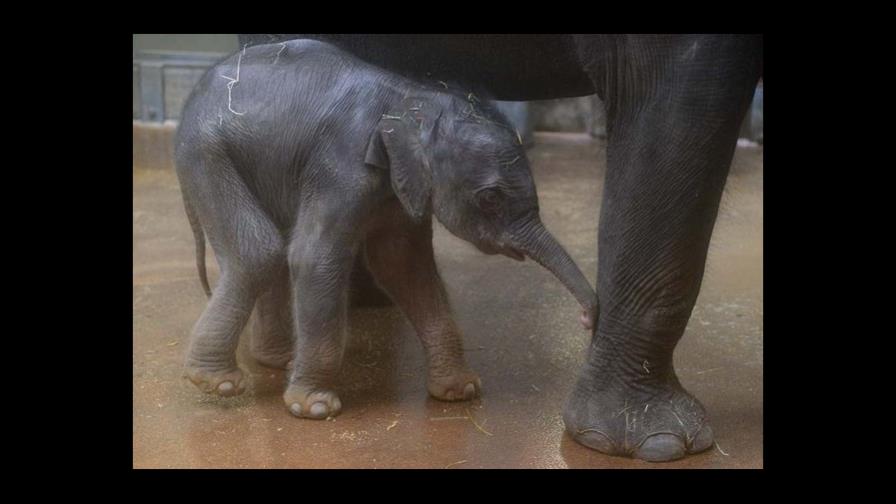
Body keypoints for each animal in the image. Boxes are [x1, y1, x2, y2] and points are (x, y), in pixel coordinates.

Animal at [175, 39, 598, 420]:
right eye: (491, 198)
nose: (587, 318)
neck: (413, 99)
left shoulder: (399, 188)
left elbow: (404, 265)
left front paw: (460, 391)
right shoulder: (341, 166)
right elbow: (316, 258)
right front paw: (314, 408)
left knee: (274, 251)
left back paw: (279, 361)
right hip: (208, 154)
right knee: (260, 251)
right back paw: (220, 382)